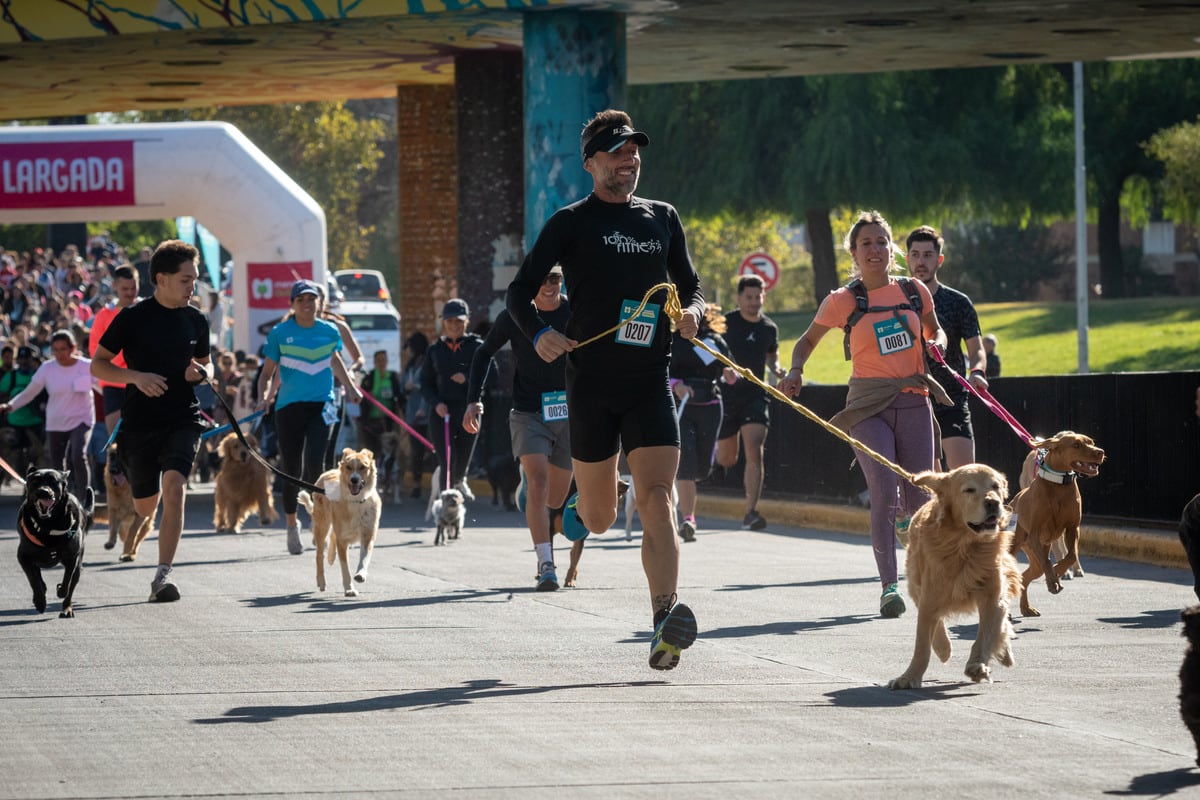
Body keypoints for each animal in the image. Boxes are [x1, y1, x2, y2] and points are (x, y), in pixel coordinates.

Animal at [17, 465, 94, 618]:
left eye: (53, 481)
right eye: (35, 481)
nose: (43, 491)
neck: (48, 524)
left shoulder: (72, 558)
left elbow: (67, 581)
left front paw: (60, 590)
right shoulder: (23, 557)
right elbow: (33, 580)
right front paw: (40, 602)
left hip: (78, 565)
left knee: (72, 584)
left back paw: (67, 608)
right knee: (37, 577)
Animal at [298, 448, 379, 597]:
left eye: (363, 467)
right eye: (348, 467)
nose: (354, 479)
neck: (356, 501)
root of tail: (328, 472)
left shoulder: (368, 534)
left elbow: (365, 557)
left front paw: (361, 574)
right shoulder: (343, 539)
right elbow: (345, 567)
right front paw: (349, 589)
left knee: (332, 536)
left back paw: (331, 557)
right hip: (322, 525)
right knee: (319, 554)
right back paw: (321, 581)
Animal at [888, 465, 1017, 690]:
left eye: (995, 486)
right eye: (969, 490)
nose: (993, 502)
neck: (964, 545)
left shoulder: (992, 597)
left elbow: (986, 634)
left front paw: (977, 665)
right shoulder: (929, 597)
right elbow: (922, 643)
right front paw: (909, 677)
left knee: (1001, 625)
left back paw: (1005, 654)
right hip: (916, 584)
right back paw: (944, 648)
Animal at [1008, 431, 1099, 618]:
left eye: (1092, 443)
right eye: (1076, 445)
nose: (1100, 452)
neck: (1059, 486)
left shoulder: (1072, 529)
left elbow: (1071, 556)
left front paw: (1058, 572)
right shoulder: (1035, 534)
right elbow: (1048, 561)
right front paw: (1053, 581)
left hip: (1034, 554)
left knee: (1025, 577)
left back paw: (1026, 608)